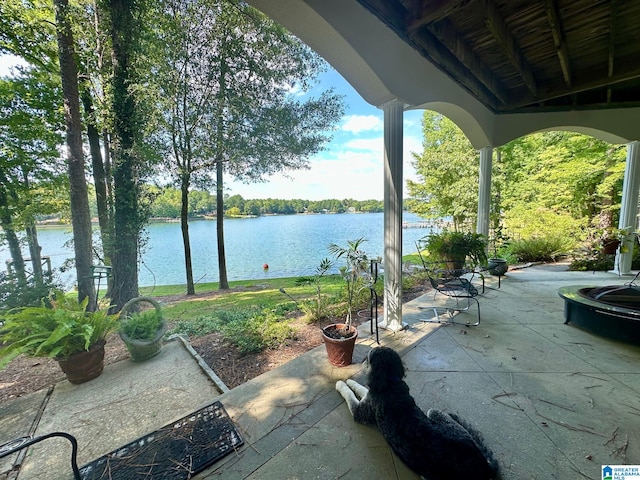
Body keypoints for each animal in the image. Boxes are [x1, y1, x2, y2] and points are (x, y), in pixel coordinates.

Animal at [336, 346, 500, 478]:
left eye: (369, 358)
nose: (362, 360)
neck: (391, 381)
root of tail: (483, 465)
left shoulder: (361, 410)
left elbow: (353, 392)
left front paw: (343, 383)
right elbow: (362, 389)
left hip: (434, 412)